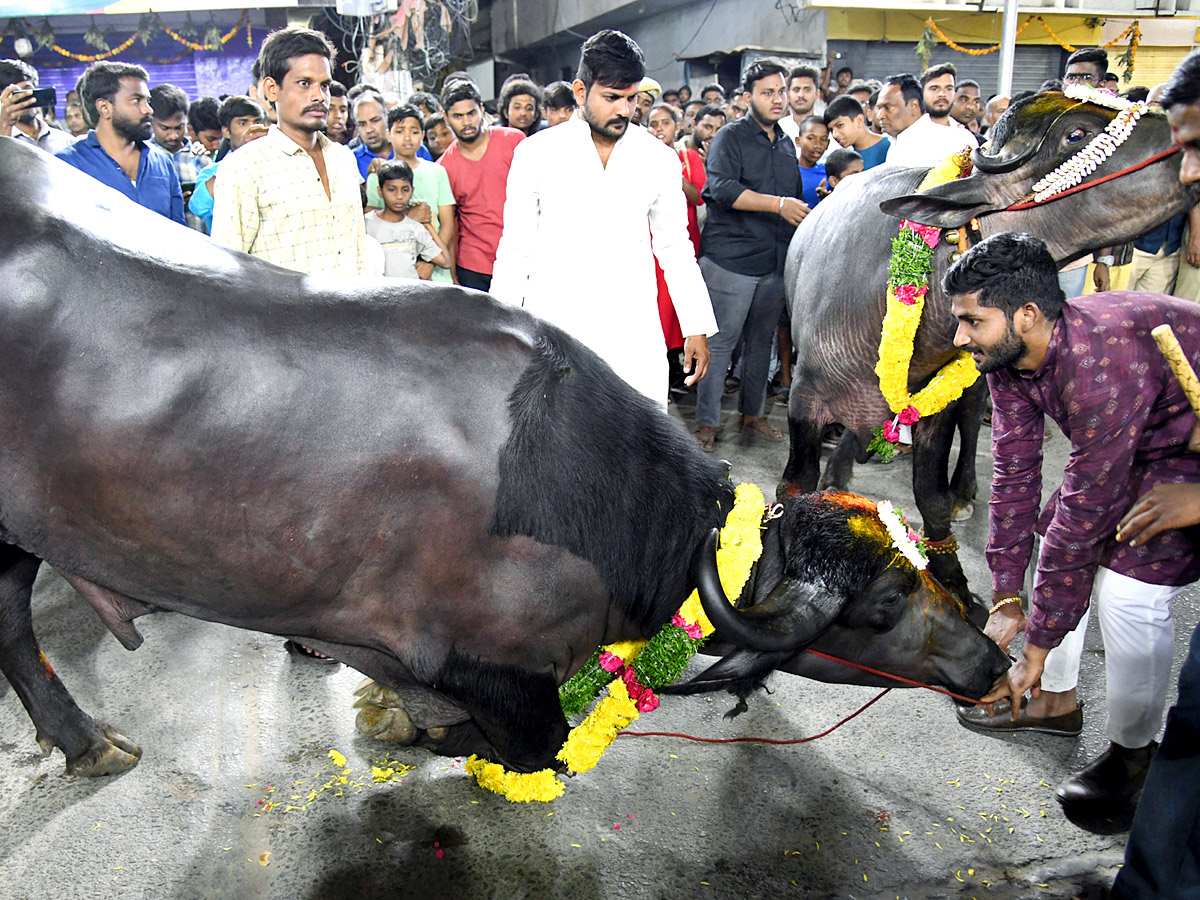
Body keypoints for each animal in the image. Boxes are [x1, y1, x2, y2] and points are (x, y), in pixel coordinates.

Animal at [0, 137, 1012, 777]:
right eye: (881, 606)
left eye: (912, 566)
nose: (991, 659)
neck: (588, 490)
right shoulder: (491, 668)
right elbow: (531, 749)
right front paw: (412, 730)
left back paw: (86, 741)